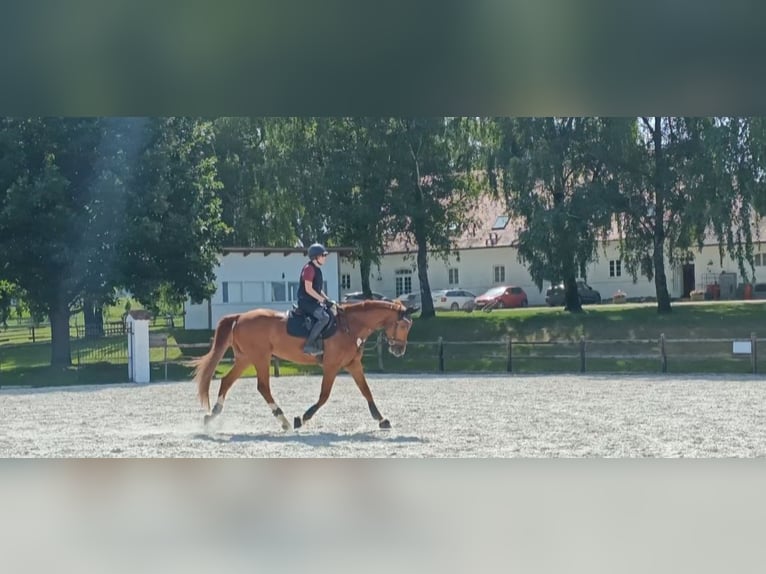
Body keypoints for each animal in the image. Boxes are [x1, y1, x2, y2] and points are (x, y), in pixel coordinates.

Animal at [190, 300, 418, 431]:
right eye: (404, 325)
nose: (399, 350)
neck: (350, 326)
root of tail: (240, 317)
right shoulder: (331, 366)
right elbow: (324, 395)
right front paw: (303, 418)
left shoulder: (353, 365)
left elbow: (366, 391)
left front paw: (381, 419)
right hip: (260, 357)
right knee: (263, 387)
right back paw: (284, 420)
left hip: (245, 358)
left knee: (227, 381)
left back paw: (213, 415)